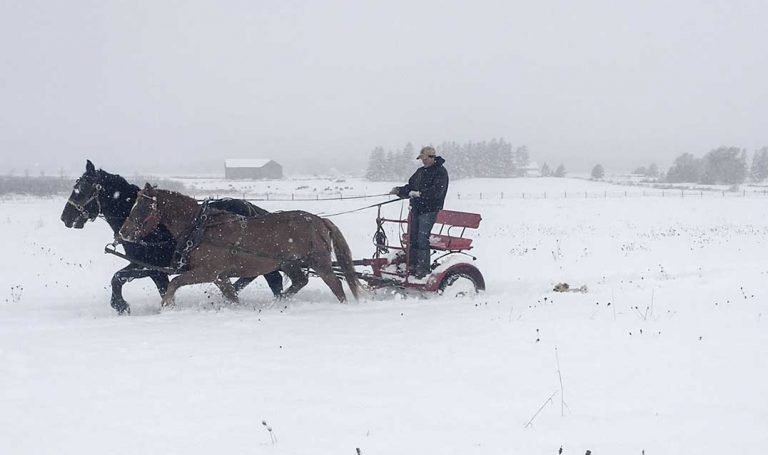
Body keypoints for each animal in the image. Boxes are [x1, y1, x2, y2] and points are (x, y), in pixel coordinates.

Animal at [60, 160, 283, 314]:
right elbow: (135, 281)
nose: (65, 218)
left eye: (81, 189)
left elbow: (118, 278)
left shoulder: (153, 267)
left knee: (272, 278)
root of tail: (254, 209)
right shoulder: (146, 266)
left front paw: (121, 305)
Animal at [118, 184, 362, 308]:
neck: (201, 228)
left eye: (142, 207)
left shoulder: (208, 272)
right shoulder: (220, 276)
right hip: (289, 263)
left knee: (336, 285)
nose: (123, 232)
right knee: (300, 281)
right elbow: (231, 296)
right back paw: (278, 302)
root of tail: (320, 220)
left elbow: (174, 282)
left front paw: (166, 307)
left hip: (319, 262)